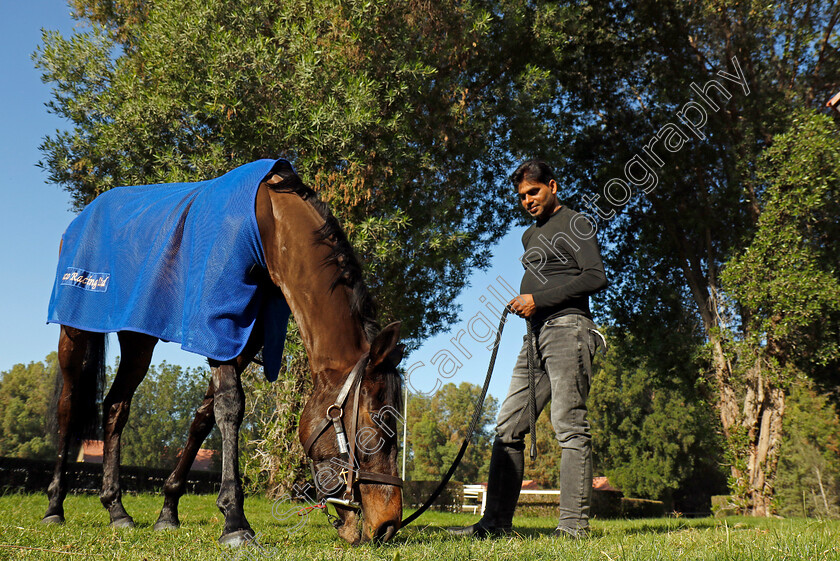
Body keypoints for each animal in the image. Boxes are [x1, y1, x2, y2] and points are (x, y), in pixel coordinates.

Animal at [41, 158, 406, 544]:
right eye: (377, 423)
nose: (387, 524)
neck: (268, 227)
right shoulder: (218, 328)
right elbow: (230, 407)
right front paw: (234, 520)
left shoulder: (242, 339)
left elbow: (204, 416)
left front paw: (168, 510)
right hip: (74, 330)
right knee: (69, 406)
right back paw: (55, 506)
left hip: (138, 337)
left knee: (115, 407)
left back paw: (116, 509)